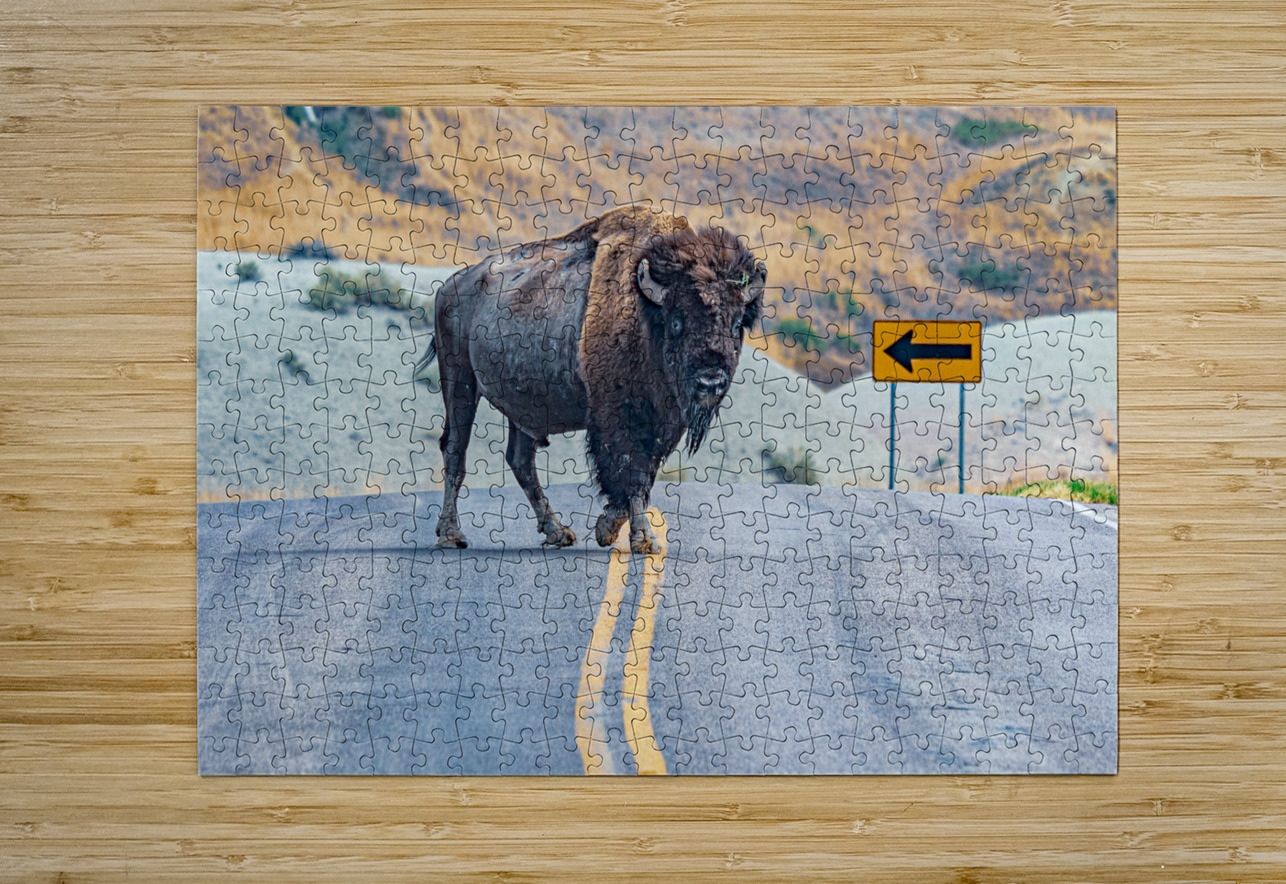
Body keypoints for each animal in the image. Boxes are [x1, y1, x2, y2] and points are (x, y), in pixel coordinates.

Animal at [419, 204, 766, 553]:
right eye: (678, 321)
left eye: (737, 324)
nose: (710, 382)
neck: (646, 314)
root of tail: (451, 285)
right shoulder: (620, 418)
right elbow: (630, 472)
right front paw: (642, 539)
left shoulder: (663, 424)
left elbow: (643, 476)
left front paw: (608, 528)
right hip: (459, 380)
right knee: (455, 449)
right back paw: (451, 534)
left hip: (525, 407)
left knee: (520, 459)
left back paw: (557, 531)